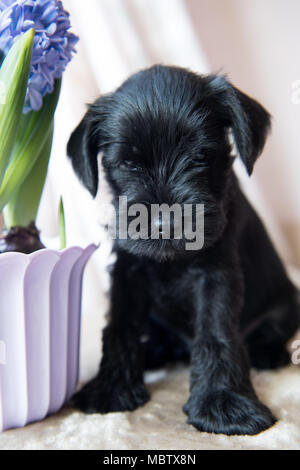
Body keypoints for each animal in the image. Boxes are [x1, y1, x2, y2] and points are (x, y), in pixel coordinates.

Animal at [67, 64, 300, 436]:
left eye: (201, 156)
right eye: (128, 164)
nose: (164, 223)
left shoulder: (216, 273)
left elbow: (216, 332)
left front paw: (222, 403)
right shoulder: (128, 273)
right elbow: (119, 327)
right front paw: (111, 388)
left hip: (287, 304)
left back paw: (267, 353)